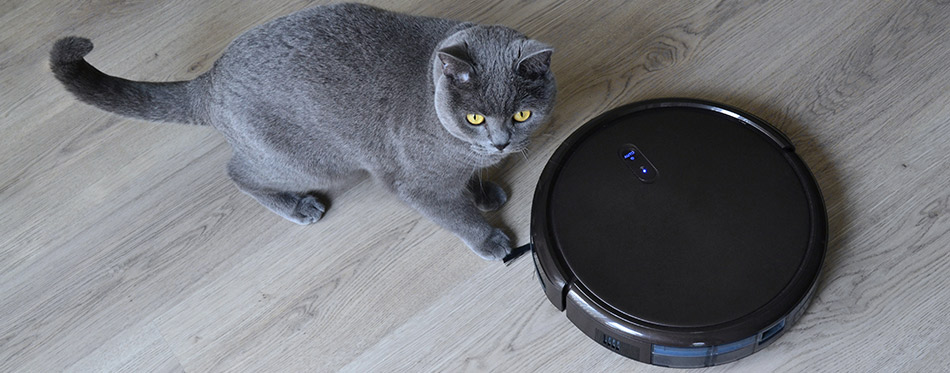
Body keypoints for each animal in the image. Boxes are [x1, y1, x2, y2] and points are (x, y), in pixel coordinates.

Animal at [48, 2, 556, 260]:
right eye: (475, 118)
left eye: (522, 115)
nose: (501, 142)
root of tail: (210, 79)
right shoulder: (415, 183)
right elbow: (452, 214)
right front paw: (488, 237)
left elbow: (469, 180)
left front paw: (485, 192)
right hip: (311, 163)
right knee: (238, 173)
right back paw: (299, 207)